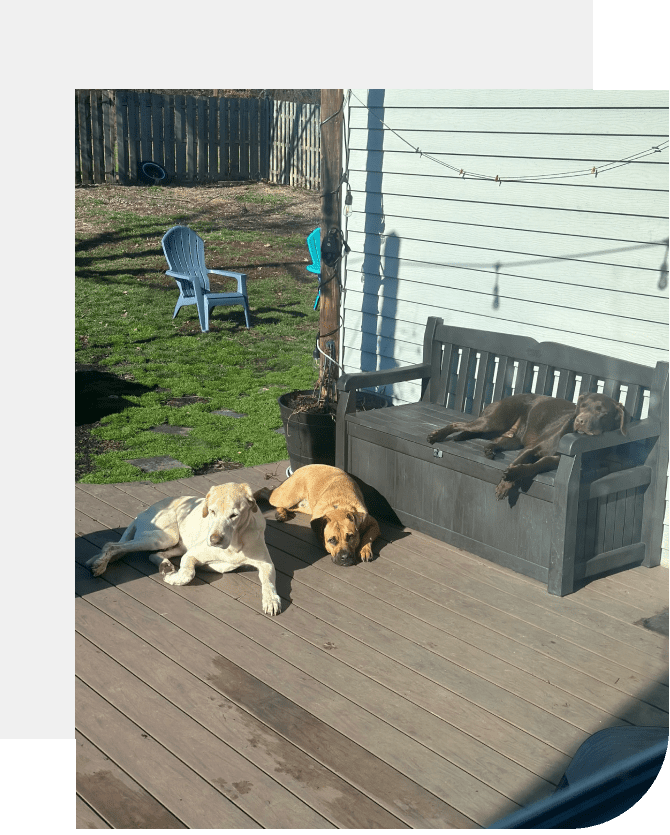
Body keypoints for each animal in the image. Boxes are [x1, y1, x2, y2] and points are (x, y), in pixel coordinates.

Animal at [86, 484, 280, 612]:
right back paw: (100, 565)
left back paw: (165, 565)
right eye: (212, 511)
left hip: (176, 544)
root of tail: (141, 513)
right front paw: (173, 579)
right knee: (112, 545)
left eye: (234, 515)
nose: (214, 540)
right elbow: (188, 573)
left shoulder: (266, 564)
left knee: (154, 555)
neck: (235, 542)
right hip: (164, 537)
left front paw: (271, 599)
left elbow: (268, 581)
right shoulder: (191, 554)